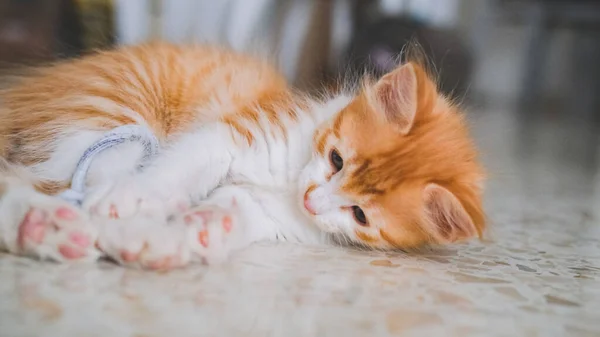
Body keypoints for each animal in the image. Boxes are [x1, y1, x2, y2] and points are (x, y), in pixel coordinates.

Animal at [0, 42, 486, 268]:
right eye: (336, 159)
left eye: (361, 215)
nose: (311, 200)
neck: (290, 180)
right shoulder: (231, 134)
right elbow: (174, 169)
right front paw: (132, 200)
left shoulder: (268, 210)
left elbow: (232, 210)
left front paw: (186, 234)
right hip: (113, 117)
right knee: (56, 178)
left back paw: (47, 229)